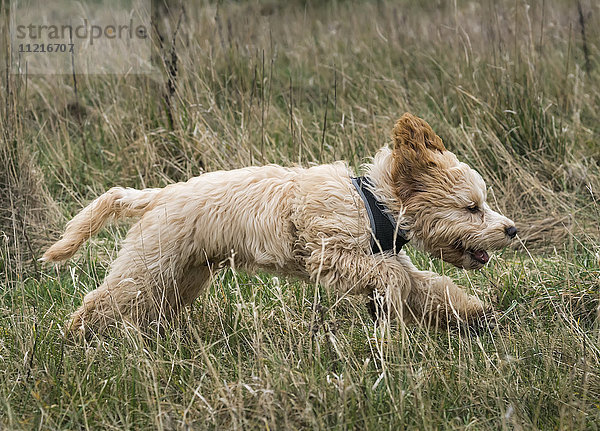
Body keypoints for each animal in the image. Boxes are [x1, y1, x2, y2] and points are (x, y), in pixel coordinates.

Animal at [43, 114, 516, 338]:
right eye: (472, 207)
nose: (512, 230)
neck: (372, 205)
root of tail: (159, 195)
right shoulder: (334, 256)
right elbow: (395, 276)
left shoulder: (382, 257)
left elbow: (430, 287)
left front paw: (473, 313)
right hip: (147, 268)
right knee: (98, 301)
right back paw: (74, 340)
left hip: (181, 277)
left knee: (144, 309)